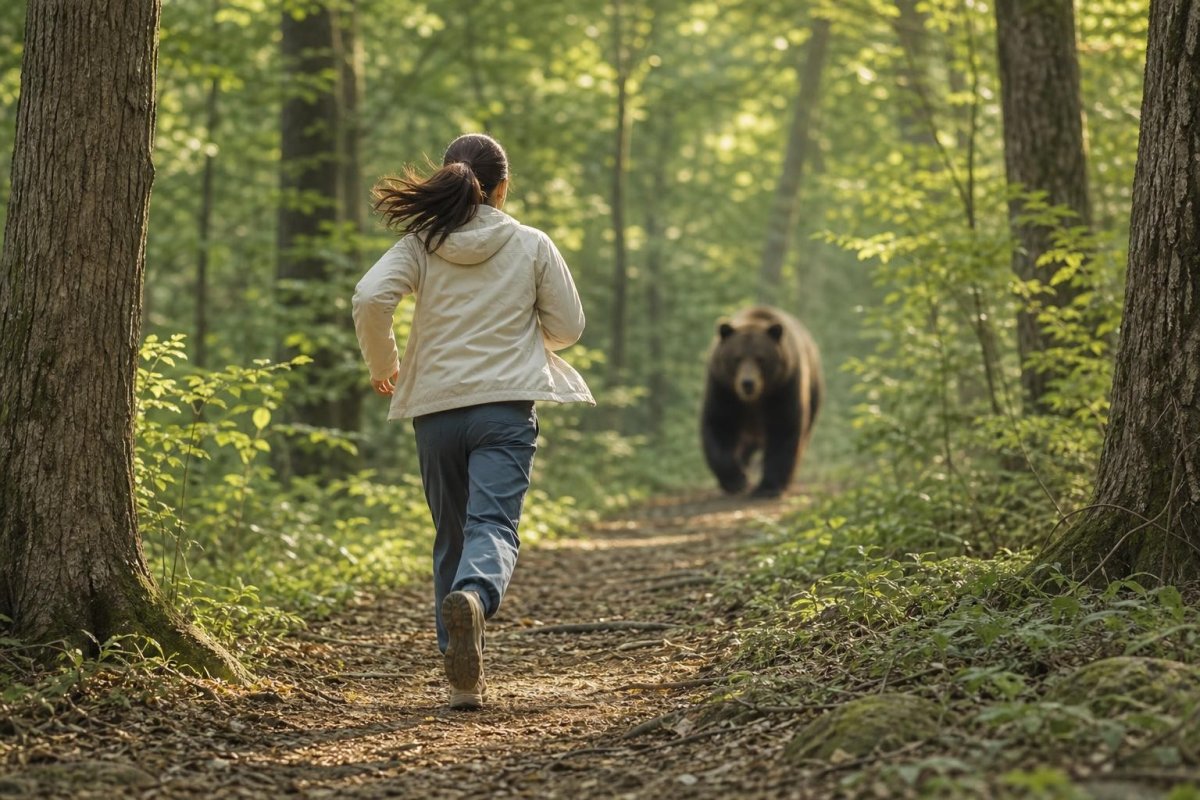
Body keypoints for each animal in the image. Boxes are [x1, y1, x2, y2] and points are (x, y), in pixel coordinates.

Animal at [701, 306, 822, 498]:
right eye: (737, 358)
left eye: (760, 358)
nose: (748, 383)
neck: (756, 399)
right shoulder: (724, 389)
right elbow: (720, 424)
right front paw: (736, 480)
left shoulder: (784, 386)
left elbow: (783, 427)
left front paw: (768, 486)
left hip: (813, 392)